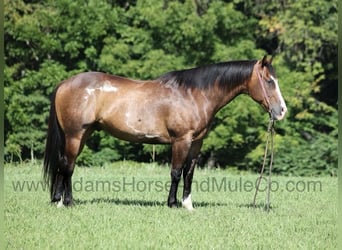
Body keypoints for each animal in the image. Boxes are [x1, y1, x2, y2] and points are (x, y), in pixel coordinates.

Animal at [44, 55, 288, 210]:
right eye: (269, 81)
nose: (282, 111)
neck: (194, 94)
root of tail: (65, 83)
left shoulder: (196, 142)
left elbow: (189, 173)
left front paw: (188, 205)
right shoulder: (181, 140)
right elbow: (176, 172)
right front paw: (172, 204)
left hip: (81, 135)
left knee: (64, 164)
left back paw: (59, 200)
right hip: (75, 135)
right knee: (67, 166)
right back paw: (66, 202)